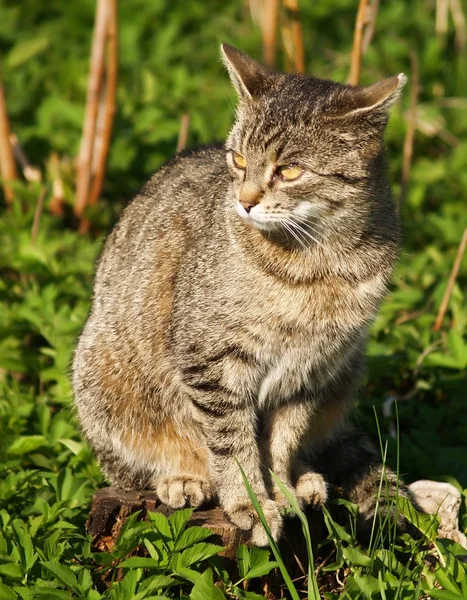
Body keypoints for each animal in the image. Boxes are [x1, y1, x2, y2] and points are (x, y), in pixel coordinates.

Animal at [73, 44, 406, 548]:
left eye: (289, 170)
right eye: (238, 160)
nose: (245, 201)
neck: (319, 265)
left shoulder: (312, 368)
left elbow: (282, 440)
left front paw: (281, 488)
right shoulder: (212, 361)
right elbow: (234, 444)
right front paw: (250, 502)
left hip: (346, 374)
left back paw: (306, 479)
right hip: (102, 377)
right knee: (133, 468)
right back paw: (181, 478)